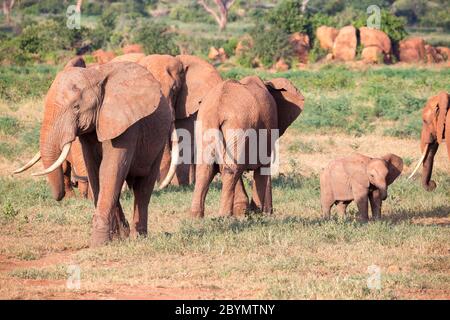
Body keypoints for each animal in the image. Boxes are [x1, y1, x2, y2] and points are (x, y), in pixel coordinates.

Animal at [14, 60, 172, 248]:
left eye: (76, 108)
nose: (60, 196)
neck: (94, 74)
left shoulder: (125, 124)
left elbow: (110, 170)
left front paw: (98, 244)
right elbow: (95, 172)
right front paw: (113, 239)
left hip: (159, 141)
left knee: (143, 187)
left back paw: (138, 237)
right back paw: (125, 234)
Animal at [192, 76, 304, 218]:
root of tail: (218, 108)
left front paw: (246, 212)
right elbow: (263, 166)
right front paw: (261, 213)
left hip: (207, 123)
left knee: (206, 167)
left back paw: (196, 217)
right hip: (239, 125)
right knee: (230, 169)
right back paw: (224, 216)